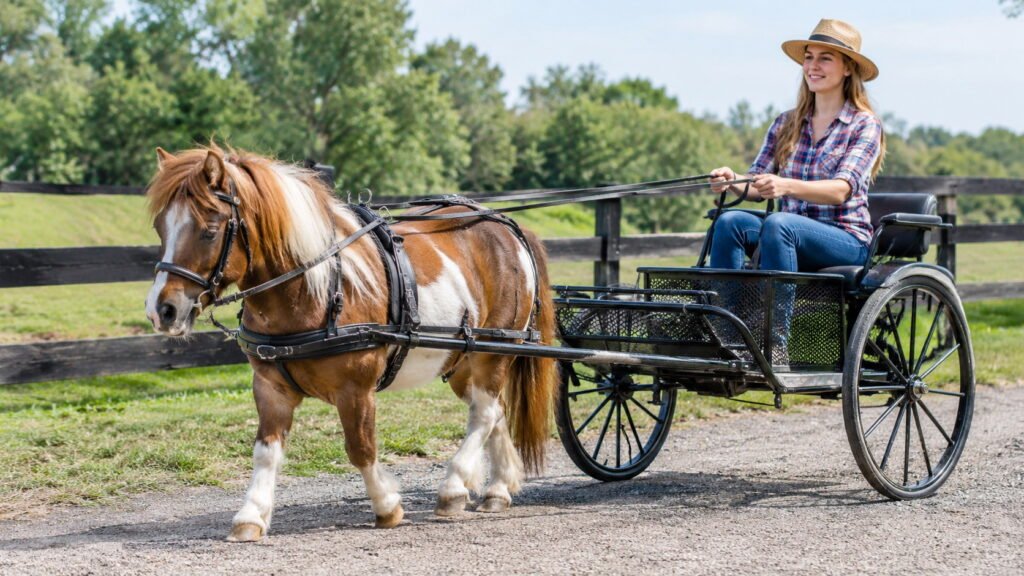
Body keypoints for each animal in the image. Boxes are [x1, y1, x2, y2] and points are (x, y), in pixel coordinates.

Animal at [144, 145, 558, 541]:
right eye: (160, 228)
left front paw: (387, 506)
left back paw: (453, 487)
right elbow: (265, 452)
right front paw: (251, 515)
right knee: (492, 411)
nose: (162, 310)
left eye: (210, 230)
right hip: (462, 362)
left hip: (494, 349)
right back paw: (498, 488)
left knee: (484, 414)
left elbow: (361, 448)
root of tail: (508, 227)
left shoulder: (356, 389)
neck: (313, 288)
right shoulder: (270, 387)